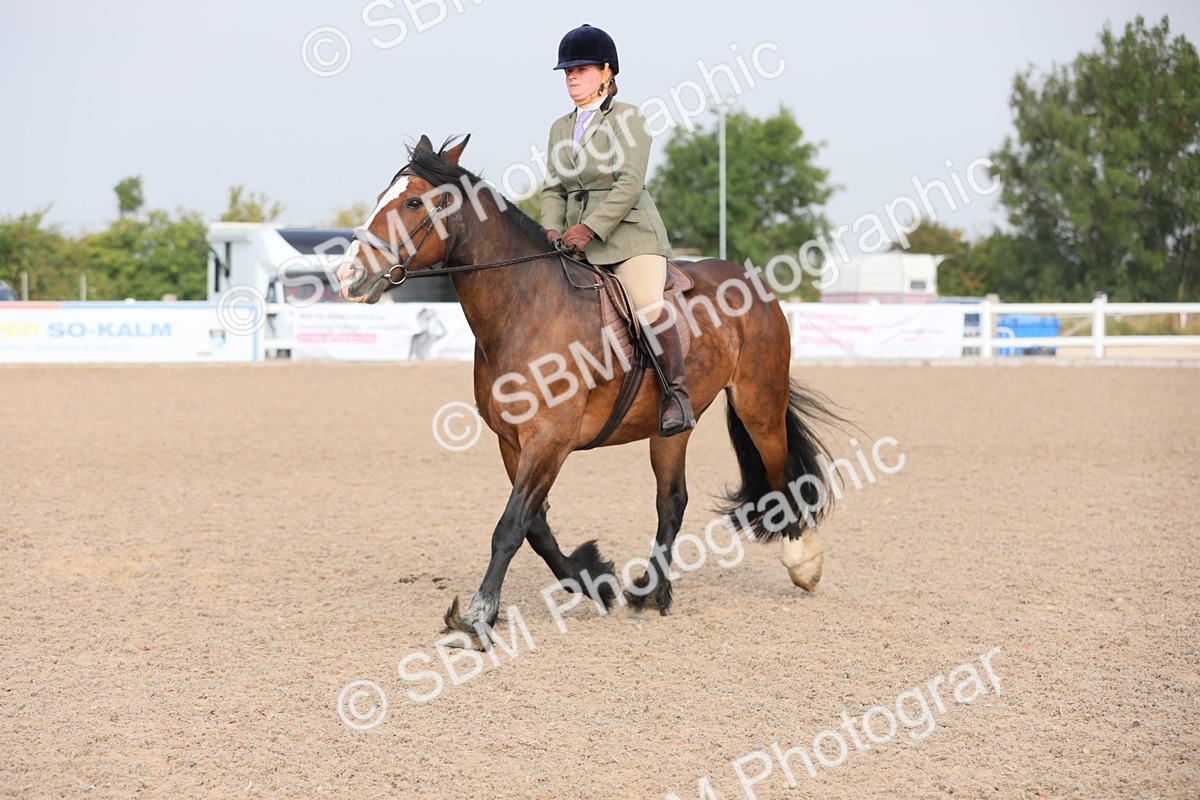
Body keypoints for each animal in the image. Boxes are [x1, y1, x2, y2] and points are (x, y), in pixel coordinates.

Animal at [336, 134, 838, 649]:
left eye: (414, 202)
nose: (348, 276)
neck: (526, 306)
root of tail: (756, 283)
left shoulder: (549, 440)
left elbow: (510, 527)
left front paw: (478, 616)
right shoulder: (512, 442)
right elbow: (536, 529)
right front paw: (593, 580)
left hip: (759, 404)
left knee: (780, 476)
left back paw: (803, 564)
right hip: (673, 426)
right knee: (672, 502)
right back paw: (651, 592)